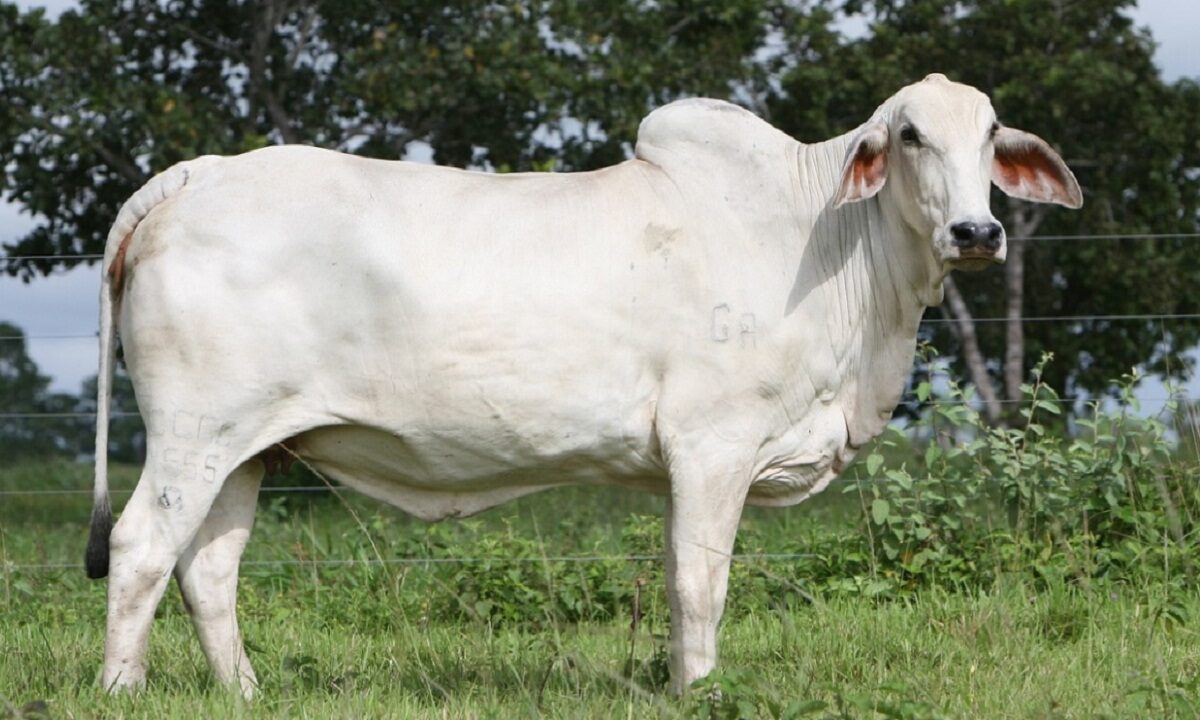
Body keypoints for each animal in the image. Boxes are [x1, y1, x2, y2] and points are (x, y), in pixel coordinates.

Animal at [87, 73, 1081, 697]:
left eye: (990, 135)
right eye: (910, 135)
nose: (977, 231)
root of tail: (201, 174)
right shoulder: (713, 446)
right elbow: (699, 585)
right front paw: (701, 690)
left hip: (247, 449)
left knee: (208, 569)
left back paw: (246, 692)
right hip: (192, 433)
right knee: (140, 548)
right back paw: (122, 690)